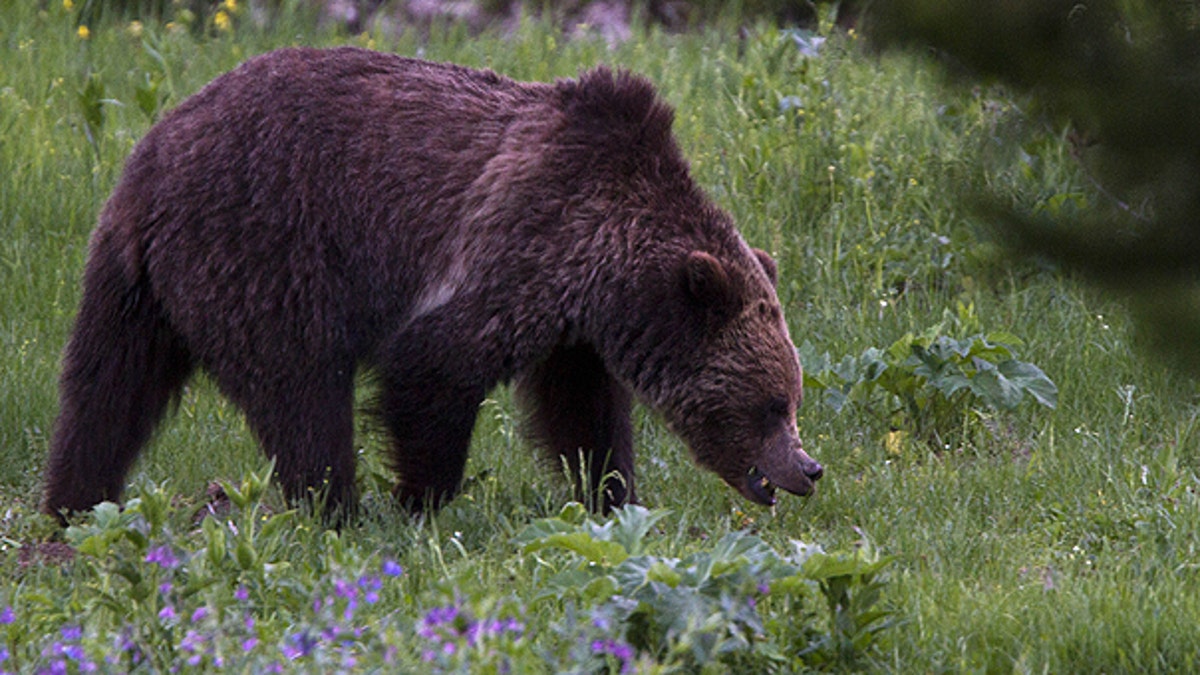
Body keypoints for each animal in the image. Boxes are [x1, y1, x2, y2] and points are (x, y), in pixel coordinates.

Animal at [39, 47, 825, 521]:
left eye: (791, 396)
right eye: (771, 403)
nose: (808, 467)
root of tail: (151, 160)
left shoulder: (573, 324)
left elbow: (581, 410)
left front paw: (611, 495)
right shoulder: (520, 241)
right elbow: (433, 365)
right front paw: (424, 501)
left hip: (136, 287)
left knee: (106, 392)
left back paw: (73, 505)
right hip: (263, 252)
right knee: (301, 393)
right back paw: (337, 508)